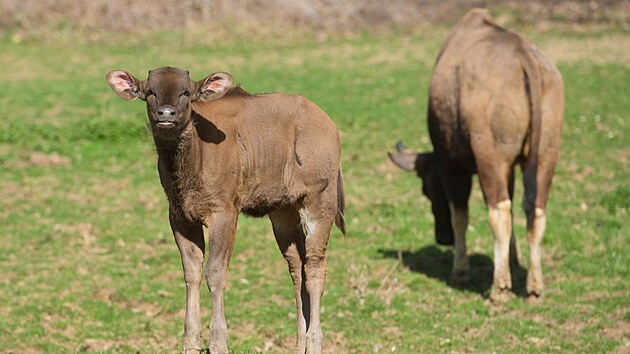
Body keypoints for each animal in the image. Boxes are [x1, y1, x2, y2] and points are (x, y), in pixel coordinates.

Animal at [107, 65, 346, 352]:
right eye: (151, 91)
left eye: (185, 92)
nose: (166, 114)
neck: (192, 163)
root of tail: (330, 127)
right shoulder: (179, 215)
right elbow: (191, 271)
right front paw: (190, 341)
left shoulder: (225, 213)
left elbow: (215, 272)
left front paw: (218, 341)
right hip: (284, 211)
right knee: (296, 267)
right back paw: (299, 344)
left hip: (319, 201)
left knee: (315, 267)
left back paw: (314, 340)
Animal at [390, 8, 568, 302]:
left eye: (427, 190)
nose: (442, 238)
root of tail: (524, 56)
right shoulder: (508, 167)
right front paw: (512, 258)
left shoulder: (450, 164)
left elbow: (460, 214)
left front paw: (460, 269)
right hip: (546, 154)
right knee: (535, 209)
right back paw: (533, 285)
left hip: (489, 155)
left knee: (499, 210)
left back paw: (500, 287)